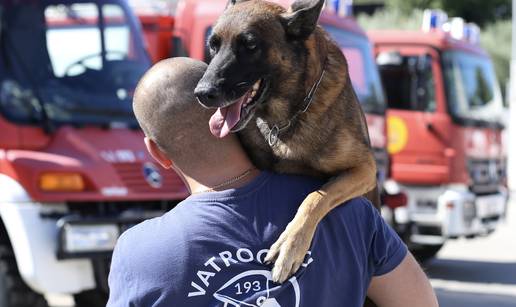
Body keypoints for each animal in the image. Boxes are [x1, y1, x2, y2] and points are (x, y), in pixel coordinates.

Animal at [194, 0, 378, 286]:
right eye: (213, 45)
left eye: (250, 45)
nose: (202, 93)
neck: (287, 116)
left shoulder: (364, 169)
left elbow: (315, 198)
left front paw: (290, 246)